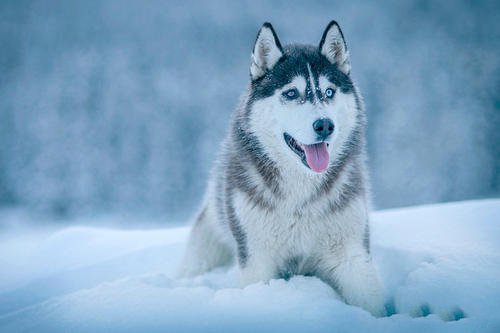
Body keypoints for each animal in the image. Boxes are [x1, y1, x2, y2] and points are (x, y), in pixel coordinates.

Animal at [180, 20, 386, 316]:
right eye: (291, 93)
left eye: (329, 92)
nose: (325, 125)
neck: (300, 196)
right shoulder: (258, 259)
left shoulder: (351, 253)